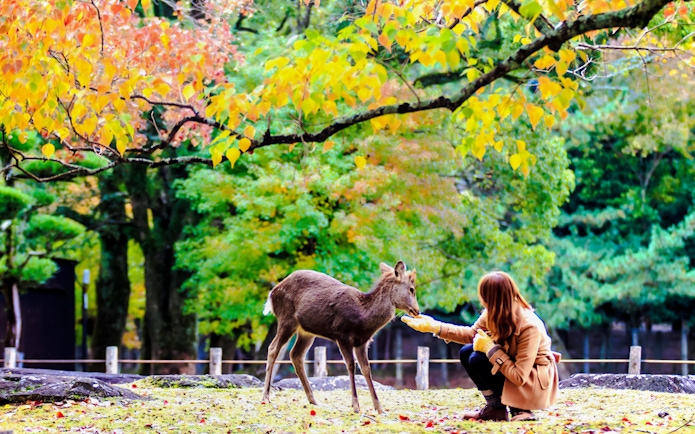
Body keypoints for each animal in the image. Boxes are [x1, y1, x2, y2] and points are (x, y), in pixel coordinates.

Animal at [261, 260, 419, 414]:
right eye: (412, 289)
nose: (417, 311)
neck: (363, 318)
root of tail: (271, 294)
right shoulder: (342, 335)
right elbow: (351, 365)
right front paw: (356, 406)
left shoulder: (362, 342)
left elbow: (366, 368)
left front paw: (380, 409)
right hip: (286, 319)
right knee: (273, 348)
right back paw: (266, 397)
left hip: (306, 331)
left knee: (296, 354)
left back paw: (313, 400)